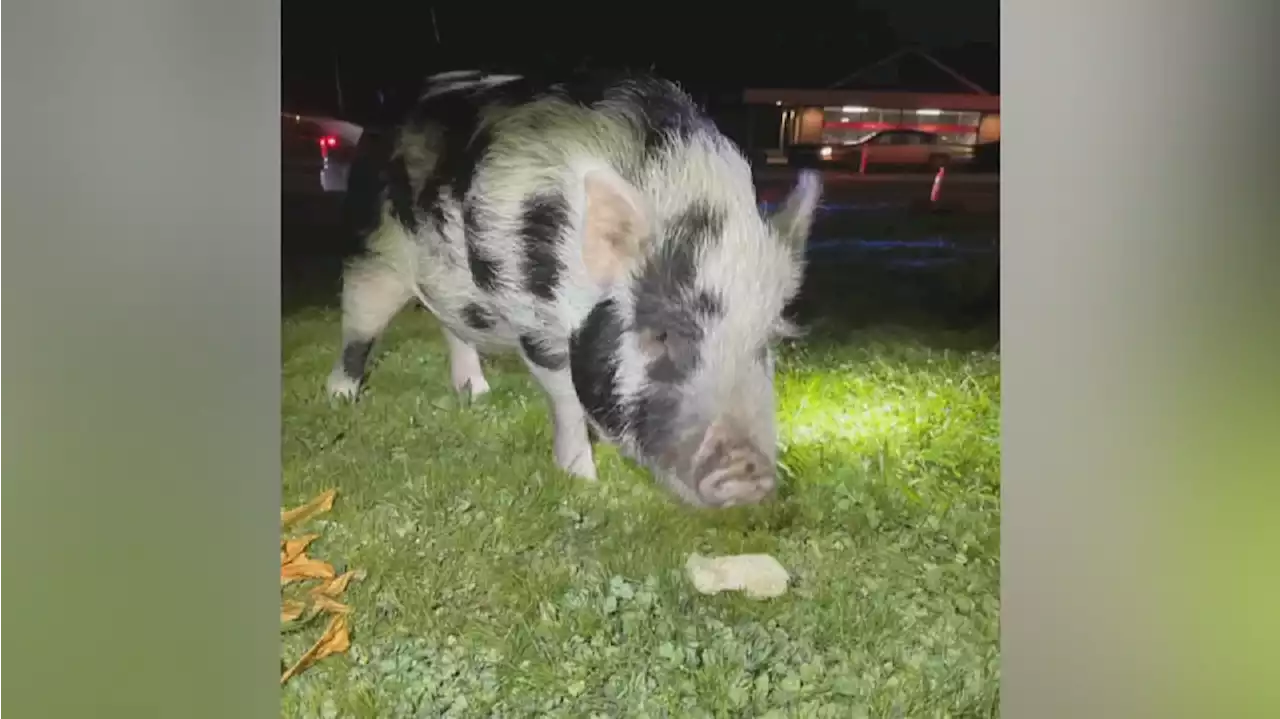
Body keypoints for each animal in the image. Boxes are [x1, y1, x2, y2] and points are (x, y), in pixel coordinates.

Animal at [325, 68, 824, 504]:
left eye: (765, 343)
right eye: (661, 334)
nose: (749, 472)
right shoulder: (535, 320)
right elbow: (565, 396)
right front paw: (583, 481)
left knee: (452, 326)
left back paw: (476, 393)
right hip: (373, 252)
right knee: (358, 327)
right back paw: (340, 398)